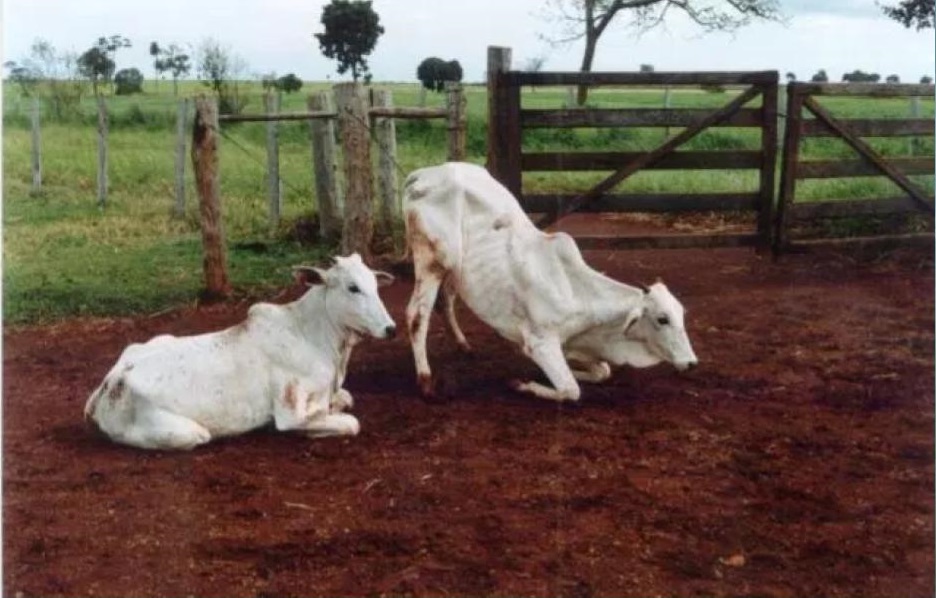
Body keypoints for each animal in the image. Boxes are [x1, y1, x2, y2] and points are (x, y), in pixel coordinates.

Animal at [82, 254, 396, 450]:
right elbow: (351, 423)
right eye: (353, 287)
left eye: (375, 285)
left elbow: (345, 399)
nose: (390, 328)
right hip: (190, 433)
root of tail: (109, 384)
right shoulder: (291, 414)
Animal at [406, 162, 700, 404]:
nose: (691, 362)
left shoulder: (575, 345)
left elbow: (602, 372)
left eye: (682, 315)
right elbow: (570, 390)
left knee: (445, 302)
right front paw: (522, 384)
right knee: (417, 316)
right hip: (432, 261)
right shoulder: (540, 342)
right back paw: (426, 383)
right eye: (662, 319)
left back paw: (463, 346)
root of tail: (424, 173)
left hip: (455, 270)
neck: (579, 295)